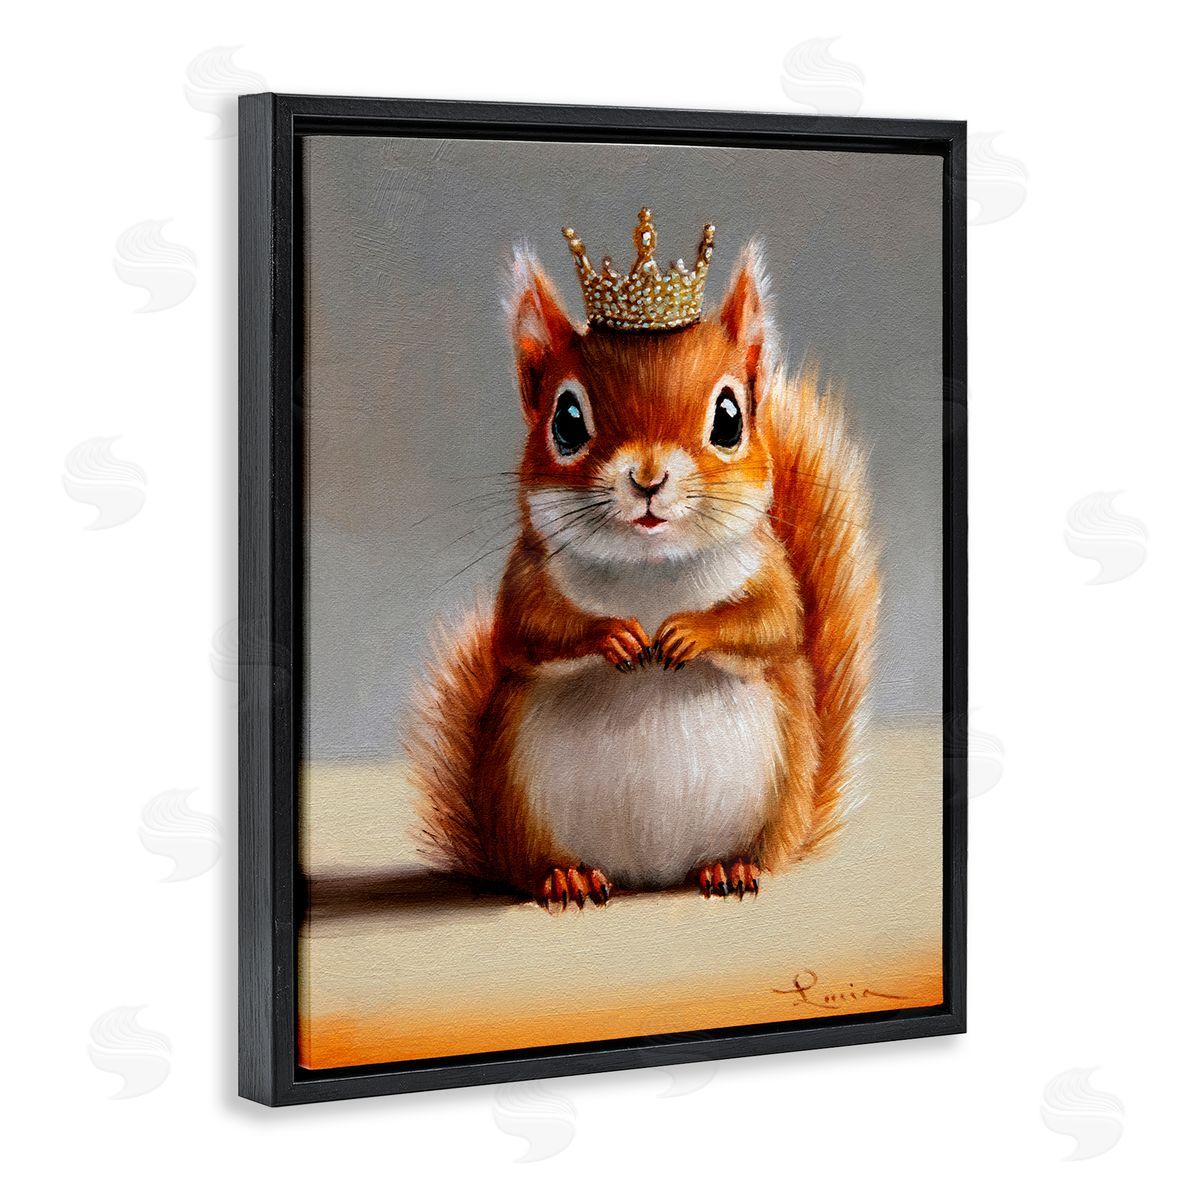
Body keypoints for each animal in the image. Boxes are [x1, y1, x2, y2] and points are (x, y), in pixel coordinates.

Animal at [406, 211, 879, 908]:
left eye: (730, 417)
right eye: (566, 420)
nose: (648, 478)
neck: (650, 571)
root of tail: (647, 875)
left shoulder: (770, 572)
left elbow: (771, 624)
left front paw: (688, 633)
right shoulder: (525, 579)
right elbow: (525, 632)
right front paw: (614, 635)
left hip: (776, 797)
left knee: (757, 854)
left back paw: (731, 867)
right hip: (517, 803)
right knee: (536, 866)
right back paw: (567, 876)